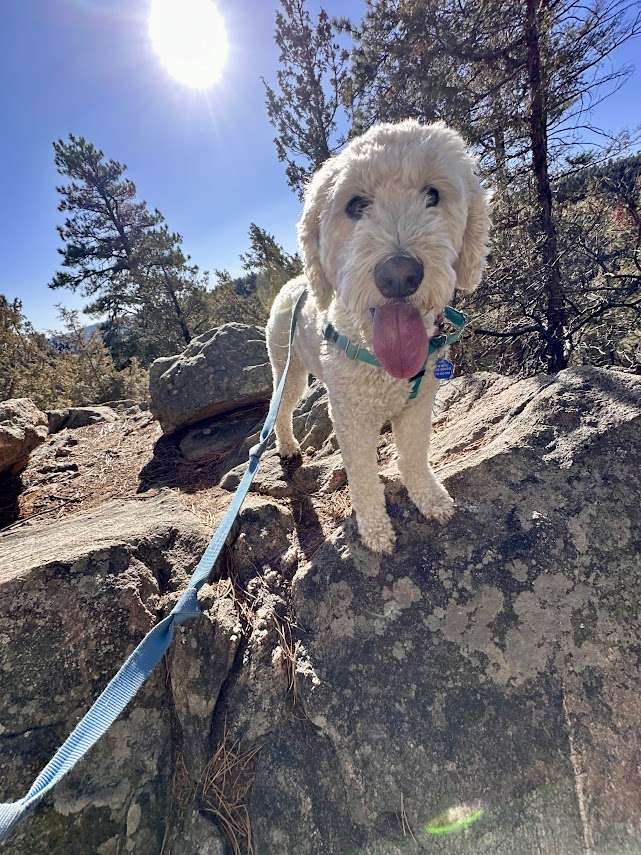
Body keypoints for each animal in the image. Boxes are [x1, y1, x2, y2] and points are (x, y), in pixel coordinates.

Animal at [264, 120, 490, 556]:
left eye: (433, 195)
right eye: (356, 205)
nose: (399, 275)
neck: (383, 363)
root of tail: (292, 285)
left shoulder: (417, 406)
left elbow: (414, 456)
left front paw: (429, 497)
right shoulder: (352, 418)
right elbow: (364, 477)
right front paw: (374, 529)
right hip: (288, 366)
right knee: (279, 407)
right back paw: (286, 445)